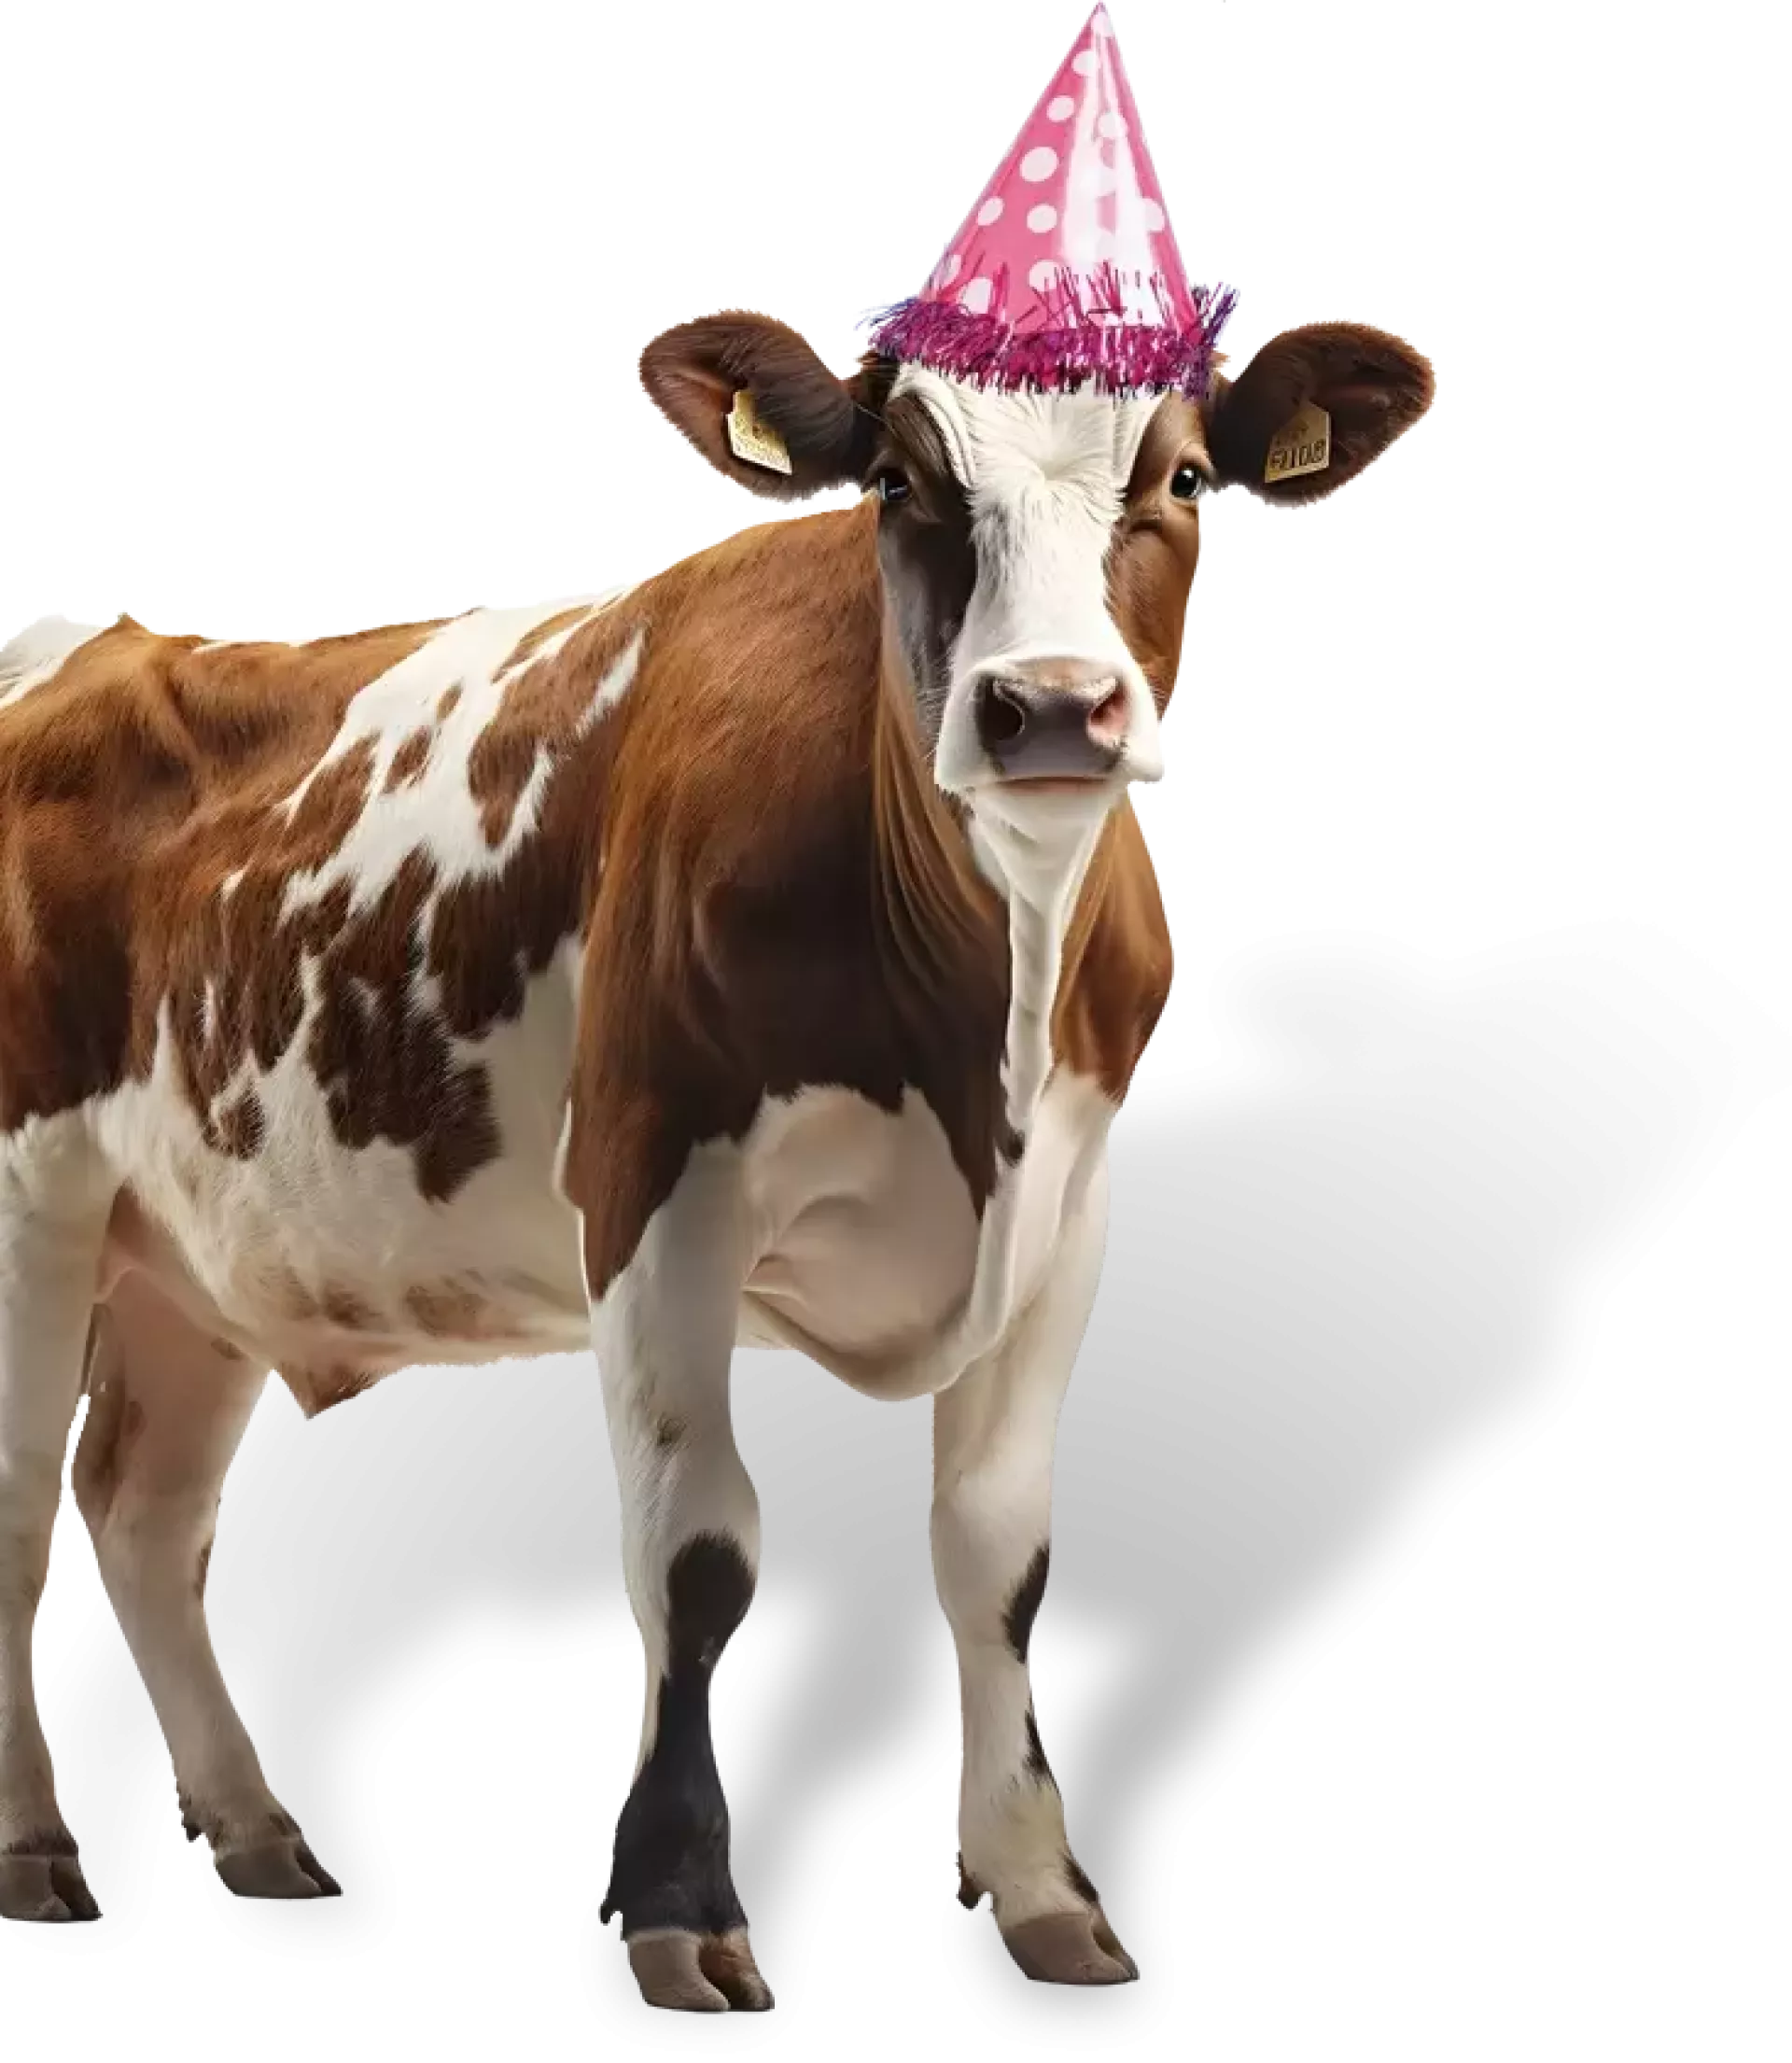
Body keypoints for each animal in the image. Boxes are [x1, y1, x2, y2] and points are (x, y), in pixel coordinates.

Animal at [0, 307, 1436, 2009]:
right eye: (901, 478)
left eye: (1187, 477)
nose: (1047, 704)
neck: (980, 1040)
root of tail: (90, 641)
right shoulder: (653, 1181)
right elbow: (700, 1554)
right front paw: (683, 1908)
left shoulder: (1068, 1215)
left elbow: (997, 1555)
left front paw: (1041, 1889)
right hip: (34, 1201)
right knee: (20, 1502)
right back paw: (32, 1849)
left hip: (203, 1247)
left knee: (144, 1507)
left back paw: (257, 1832)